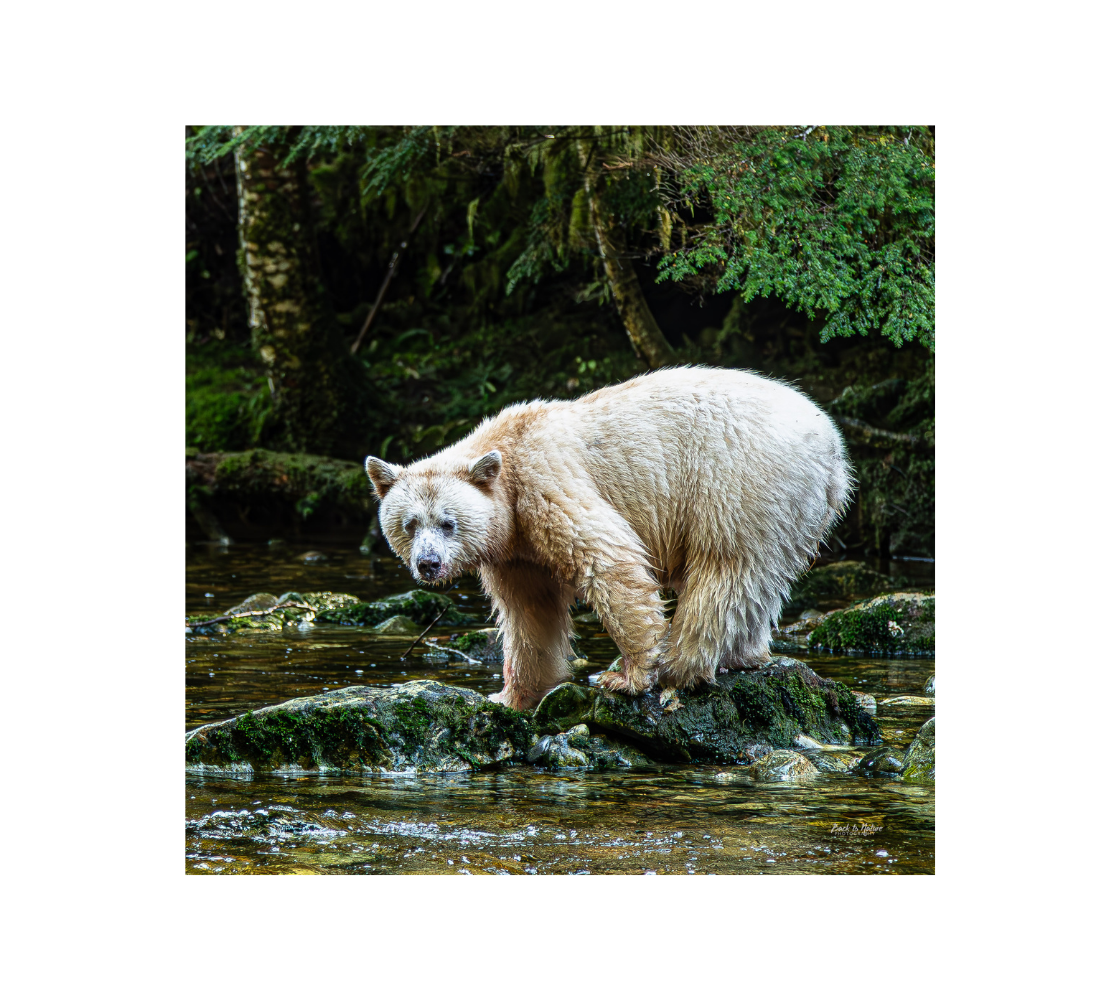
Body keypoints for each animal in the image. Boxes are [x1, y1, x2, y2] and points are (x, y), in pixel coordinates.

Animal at [365, 366, 852, 710]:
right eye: (409, 524)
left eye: (448, 522)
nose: (428, 564)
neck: (508, 455)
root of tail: (830, 443)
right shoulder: (515, 549)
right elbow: (529, 610)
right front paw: (511, 695)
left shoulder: (546, 481)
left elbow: (607, 558)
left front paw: (630, 675)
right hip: (795, 509)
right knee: (759, 577)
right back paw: (745, 655)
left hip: (739, 479)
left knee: (723, 569)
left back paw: (681, 666)